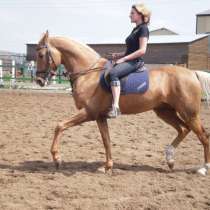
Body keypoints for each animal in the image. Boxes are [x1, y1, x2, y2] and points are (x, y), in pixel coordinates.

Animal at [35, 30, 210, 176]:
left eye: (41, 55)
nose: (38, 80)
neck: (89, 73)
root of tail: (192, 73)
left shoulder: (89, 112)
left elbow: (60, 126)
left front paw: (57, 158)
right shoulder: (100, 117)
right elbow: (106, 141)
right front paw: (107, 167)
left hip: (189, 113)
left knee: (203, 135)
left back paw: (203, 168)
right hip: (165, 112)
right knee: (183, 129)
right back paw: (170, 160)